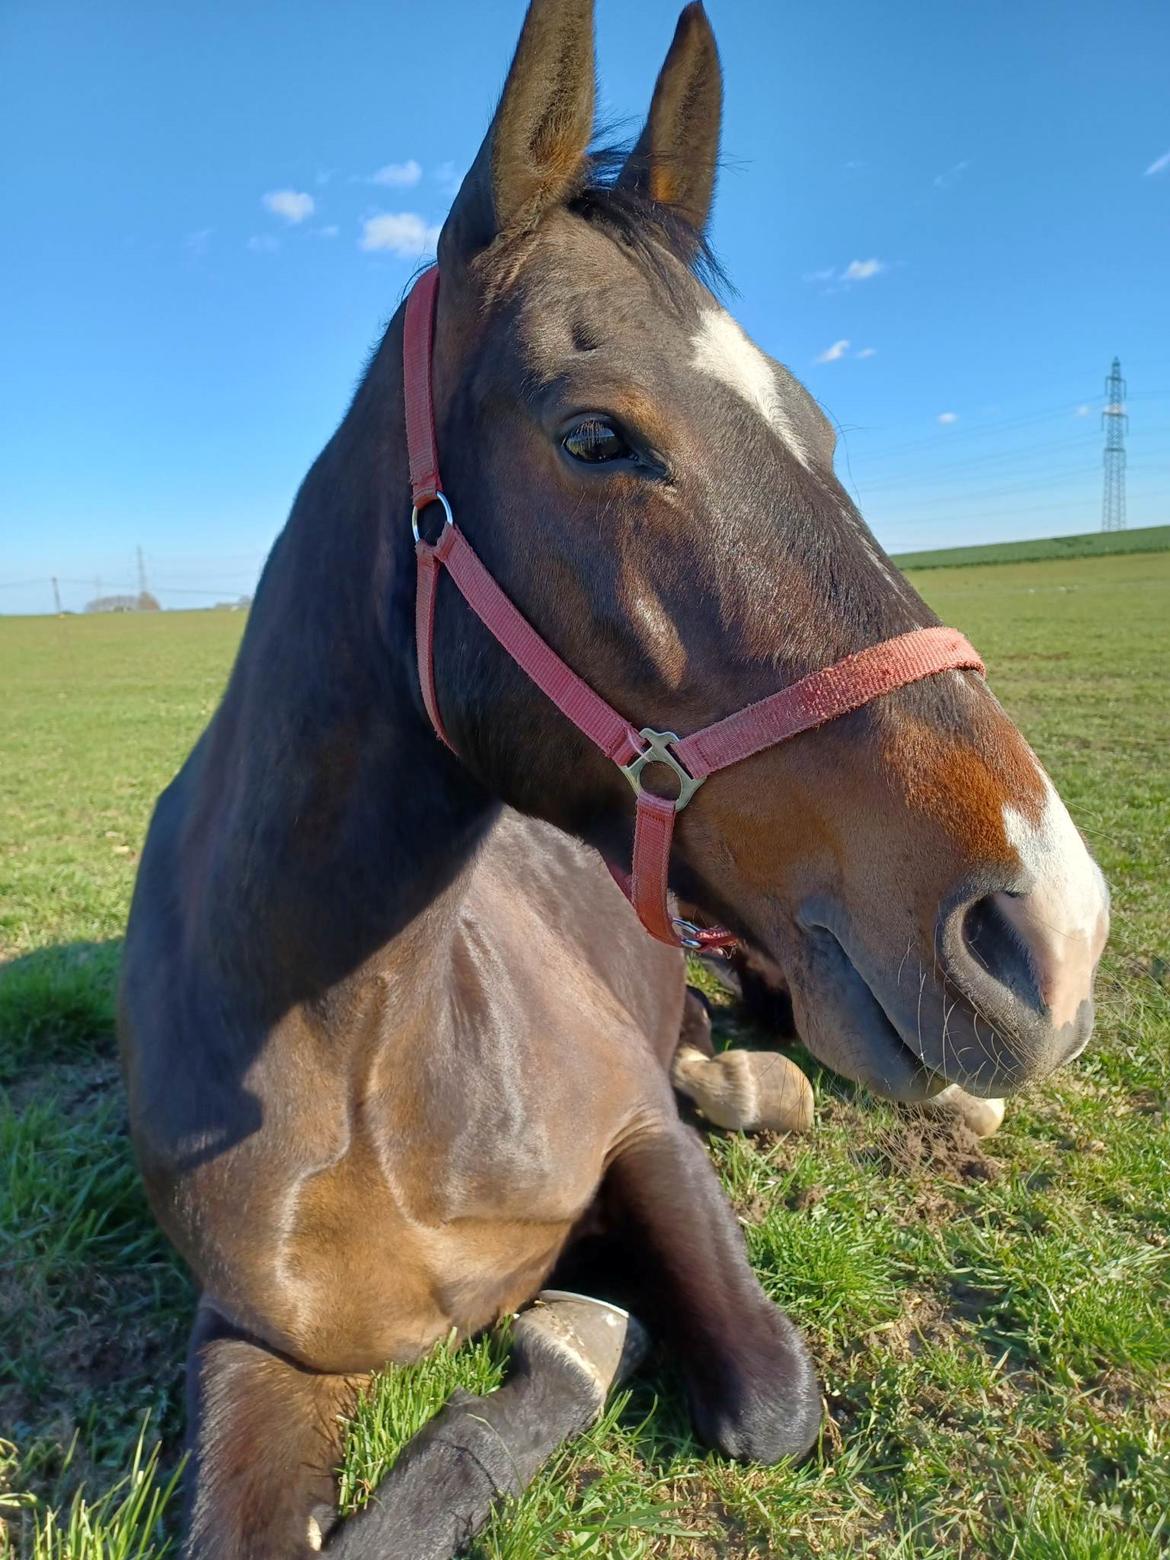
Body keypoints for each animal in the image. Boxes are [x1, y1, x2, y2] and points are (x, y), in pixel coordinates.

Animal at [116, 6, 1110, 1553]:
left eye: (821, 433)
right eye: (596, 434)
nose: (1051, 927)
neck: (351, 1065)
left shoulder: (641, 1139)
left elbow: (762, 1392)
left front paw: (588, 1332)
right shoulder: (255, 1341)